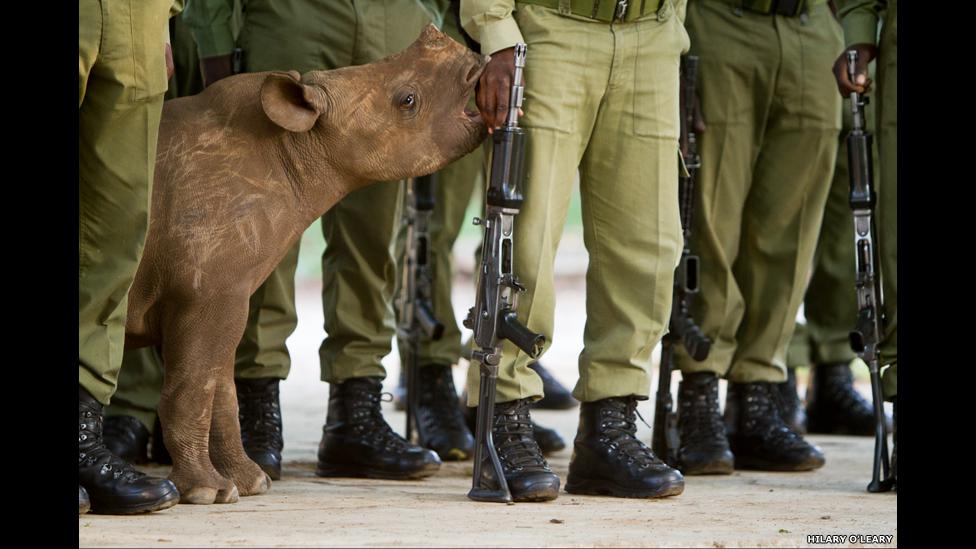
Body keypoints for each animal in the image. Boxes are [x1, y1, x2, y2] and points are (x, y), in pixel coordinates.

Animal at [122, 26, 488, 506]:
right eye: (407, 100)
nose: (473, 53)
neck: (296, 145)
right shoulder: (203, 292)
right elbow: (192, 387)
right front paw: (207, 491)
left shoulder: (224, 292)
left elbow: (218, 386)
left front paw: (251, 482)